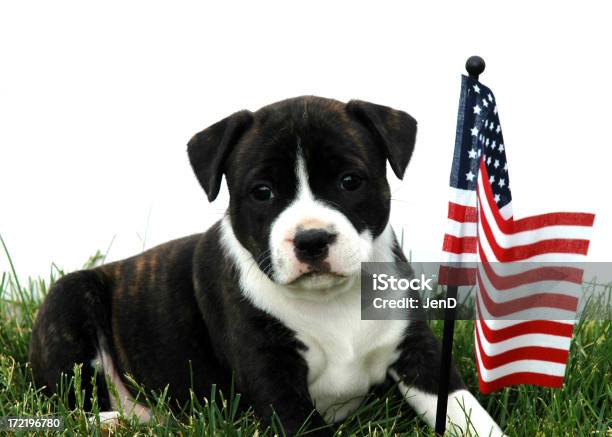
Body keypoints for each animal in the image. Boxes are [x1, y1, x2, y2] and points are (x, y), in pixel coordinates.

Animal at [28, 97, 502, 434]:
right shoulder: (274, 377)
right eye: (262, 192)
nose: (312, 239)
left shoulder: (419, 352)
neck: (331, 300)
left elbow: (465, 410)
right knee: (73, 409)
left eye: (350, 181)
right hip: (69, 299)